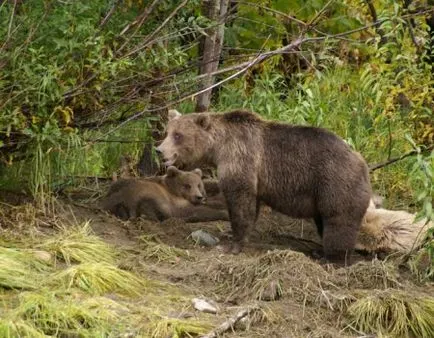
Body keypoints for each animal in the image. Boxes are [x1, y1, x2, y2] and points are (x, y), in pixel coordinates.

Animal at [158, 109, 372, 266]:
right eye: (167, 132)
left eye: (178, 135)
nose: (159, 150)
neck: (218, 147)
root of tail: (362, 162)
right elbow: (252, 207)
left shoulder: (241, 158)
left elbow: (240, 201)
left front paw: (231, 246)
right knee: (324, 222)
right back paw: (320, 252)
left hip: (335, 182)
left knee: (338, 221)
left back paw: (332, 259)